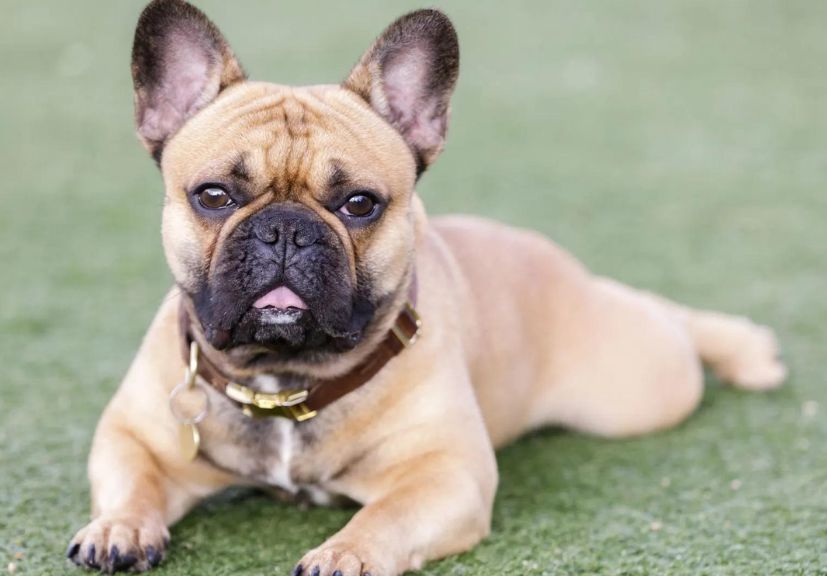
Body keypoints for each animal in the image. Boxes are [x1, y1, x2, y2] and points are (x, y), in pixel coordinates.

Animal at [68, 2, 784, 572]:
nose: (285, 230)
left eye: (359, 204)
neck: (285, 377)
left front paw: (344, 554)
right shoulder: (132, 435)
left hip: (639, 390)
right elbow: (132, 478)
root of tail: (562, 265)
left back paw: (742, 346)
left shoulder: (446, 474)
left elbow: (383, 516)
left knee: (668, 322)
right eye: (214, 196)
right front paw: (118, 527)